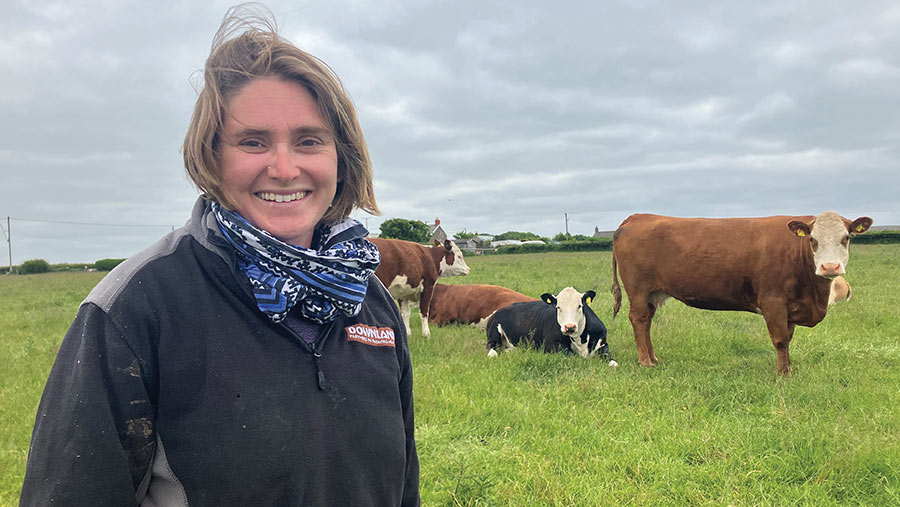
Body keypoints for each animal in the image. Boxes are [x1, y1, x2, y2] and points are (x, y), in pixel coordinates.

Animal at [486, 286, 620, 366]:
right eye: (558, 307)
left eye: (579, 306)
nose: (569, 327)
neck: (580, 340)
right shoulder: (551, 346)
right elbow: (572, 356)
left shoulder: (603, 344)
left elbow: (613, 363)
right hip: (494, 333)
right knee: (491, 347)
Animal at [612, 210, 872, 378]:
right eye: (812, 239)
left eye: (846, 238)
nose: (830, 267)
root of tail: (638, 217)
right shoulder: (773, 301)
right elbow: (780, 340)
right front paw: (782, 374)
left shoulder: (790, 307)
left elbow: (788, 339)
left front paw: (788, 369)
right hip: (638, 289)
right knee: (639, 320)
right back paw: (645, 361)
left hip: (652, 293)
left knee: (647, 322)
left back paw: (653, 358)